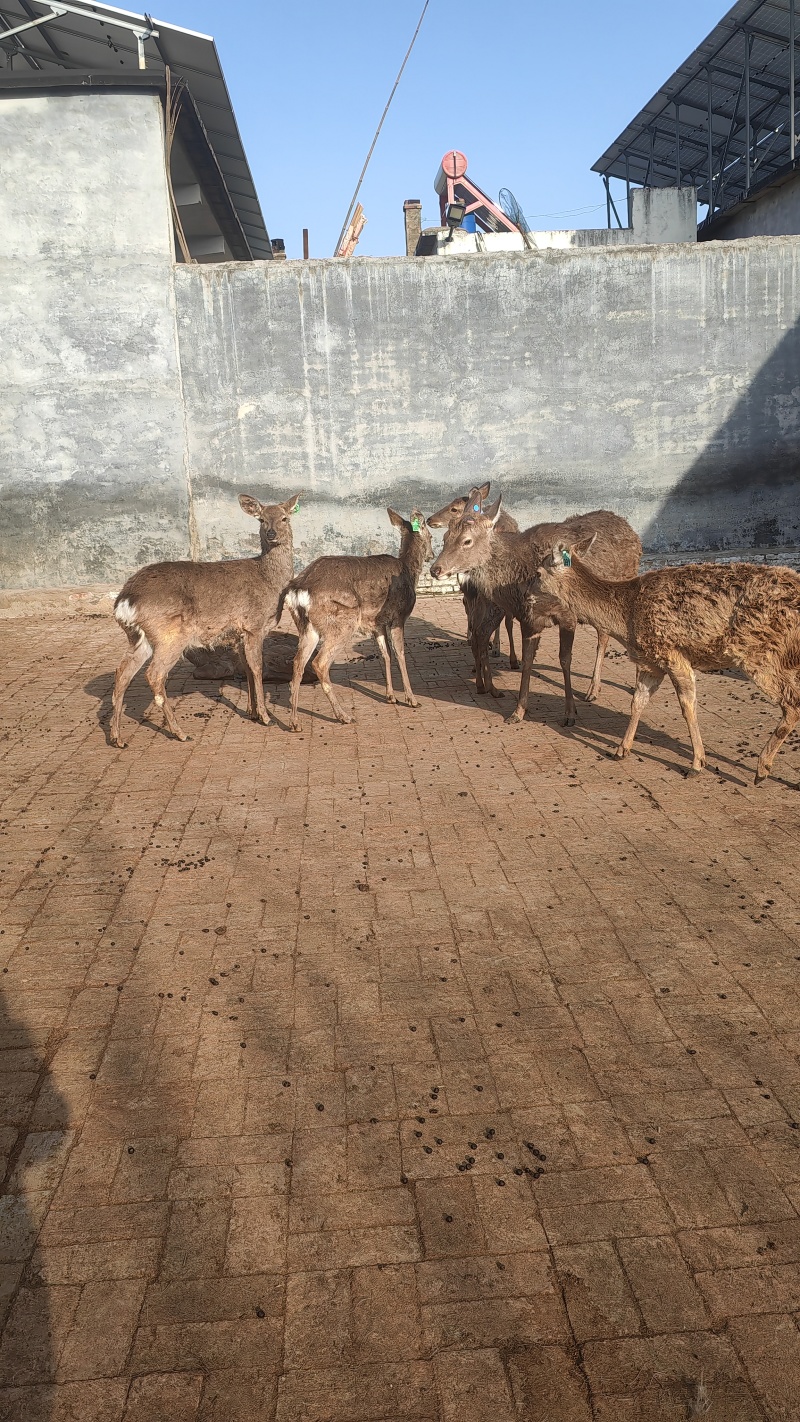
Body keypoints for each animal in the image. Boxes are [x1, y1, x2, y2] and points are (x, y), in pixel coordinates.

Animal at [109, 492, 301, 749]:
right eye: (261, 520)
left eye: (284, 518)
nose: (271, 534)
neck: (271, 582)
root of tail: (125, 600)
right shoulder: (254, 625)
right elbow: (257, 667)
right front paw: (265, 716)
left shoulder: (238, 633)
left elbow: (247, 669)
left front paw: (251, 712)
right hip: (170, 635)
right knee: (154, 675)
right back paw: (180, 733)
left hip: (139, 637)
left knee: (122, 673)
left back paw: (117, 738)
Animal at [279, 508, 433, 731]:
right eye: (431, 536)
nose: (432, 555)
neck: (409, 572)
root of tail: (298, 589)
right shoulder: (398, 616)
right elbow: (400, 654)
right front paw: (412, 699)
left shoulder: (377, 624)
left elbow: (386, 654)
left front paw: (390, 696)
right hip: (342, 622)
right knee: (319, 663)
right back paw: (343, 716)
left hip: (308, 627)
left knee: (298, 662)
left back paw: (294, 722)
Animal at [532, 536, 800, 785]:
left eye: (537, 572)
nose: (528, 595)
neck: (626, 619)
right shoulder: (650, 662)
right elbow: (637, 701)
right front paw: (621, 750)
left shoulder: (671, 652)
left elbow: (687, 706)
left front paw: (697, 764)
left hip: (762, 654)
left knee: (792, 703)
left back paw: (762, 769)